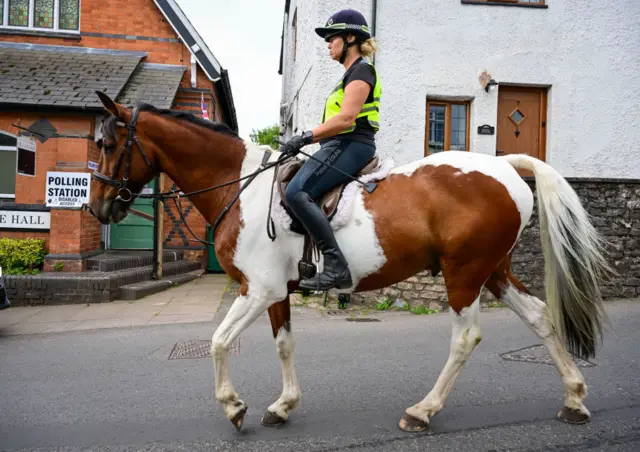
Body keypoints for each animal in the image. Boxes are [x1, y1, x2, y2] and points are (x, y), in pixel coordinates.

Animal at [87, 92, 612, 434]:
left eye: (108, 146)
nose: (98, 210)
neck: (241, 184)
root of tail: (505, 166)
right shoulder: (276, 293)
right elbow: (284, 345)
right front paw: (283, 406)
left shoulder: (256, 290)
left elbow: (217, 342)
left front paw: (234, 407)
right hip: (494, 271)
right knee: (541, 317)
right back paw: (574, 397)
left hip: (463, 274)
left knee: (465, 339)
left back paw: (422, 411)